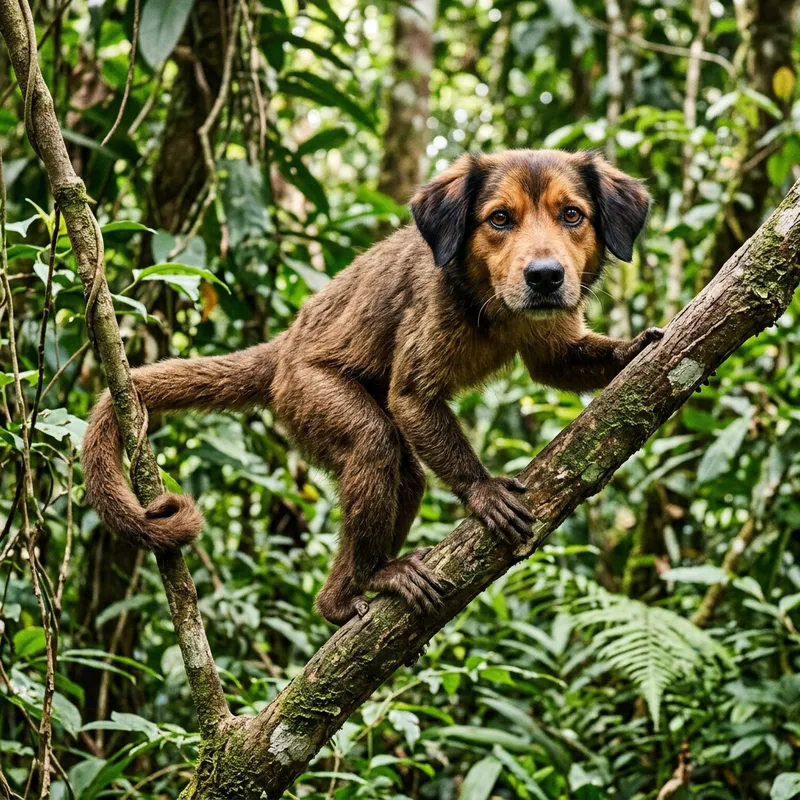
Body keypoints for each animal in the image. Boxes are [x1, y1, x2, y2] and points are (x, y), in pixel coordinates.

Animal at [82, 149, 663, 625]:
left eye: (572, 216)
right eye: (500, 219)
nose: (544, 274)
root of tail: (284, 348)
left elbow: (553, 365)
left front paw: (633, 352)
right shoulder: (436, 299)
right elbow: (410, 397)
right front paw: (481, 490)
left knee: (407, 475)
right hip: (305, 391)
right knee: (374, 440)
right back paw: (343, 597)